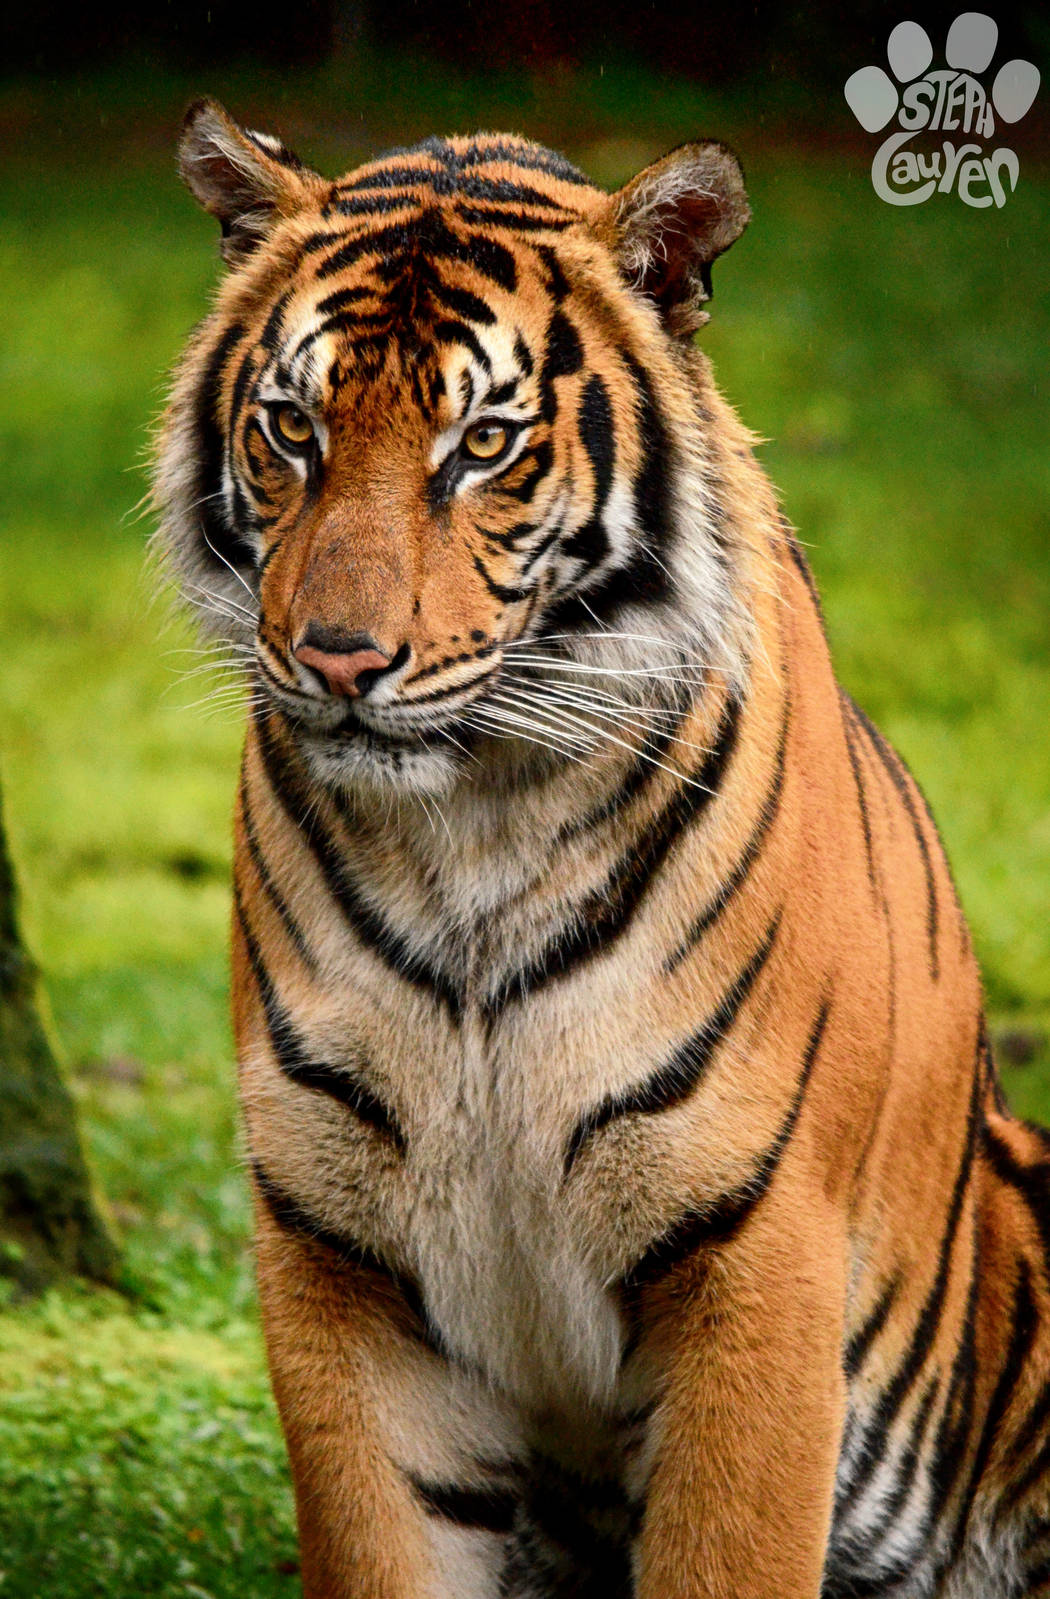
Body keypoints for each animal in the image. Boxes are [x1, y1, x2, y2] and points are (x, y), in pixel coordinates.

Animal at [152, 97, 1050, 1598]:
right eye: (291, 428)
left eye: (483, 445)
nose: (336, 661)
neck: (469, 828)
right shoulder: (339, 1254)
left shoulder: (756, 1252)